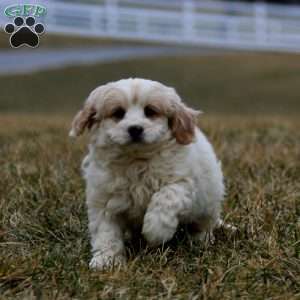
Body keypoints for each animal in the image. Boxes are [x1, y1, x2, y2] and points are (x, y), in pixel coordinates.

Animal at [69, 77, 225, 270]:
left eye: (150, 111)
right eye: (118, 113)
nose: (135, 128)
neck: (136, 160)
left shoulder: (183, 182)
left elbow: (165, 197)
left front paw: (156, 232)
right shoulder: (103, 198)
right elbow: (105, 230)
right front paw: (105, 260)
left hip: (208, 203)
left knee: (203, 225)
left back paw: (200, 240)